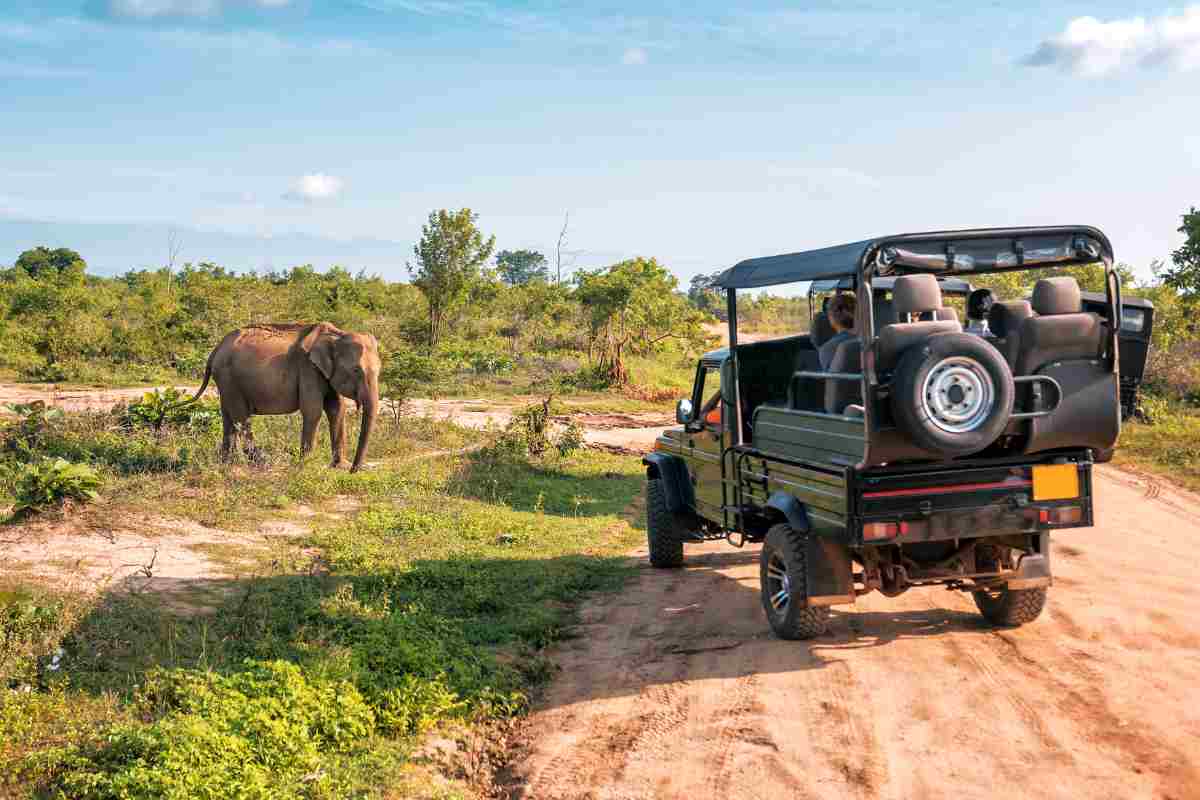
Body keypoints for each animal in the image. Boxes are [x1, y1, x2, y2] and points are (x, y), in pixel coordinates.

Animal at [189, 322, 381, 472]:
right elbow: (313, 411)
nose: (354, 470)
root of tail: (216, 349)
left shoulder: (325, 373)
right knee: (241, 417)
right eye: (356, 370)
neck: (336, 335)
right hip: (229, 379)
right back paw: (261, 461)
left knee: (228, 417)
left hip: (226, 382)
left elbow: (337, 410)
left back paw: (227, 463)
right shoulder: (308, 368)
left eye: (380, 370)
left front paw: (339, 466)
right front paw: (306, 465)